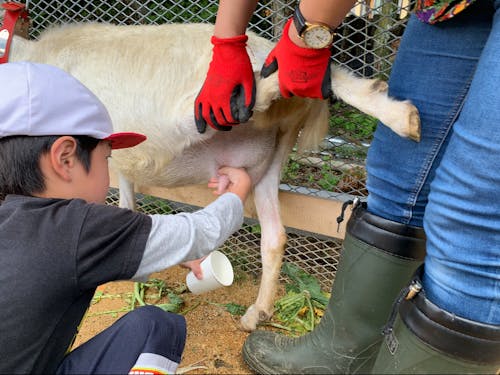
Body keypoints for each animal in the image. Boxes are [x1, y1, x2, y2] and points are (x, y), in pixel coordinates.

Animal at [9, 22, 420, 330]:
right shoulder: (117, 158)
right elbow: (126, 200)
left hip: (195, 113)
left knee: (261, 91)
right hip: (273, 153)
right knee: (276, 233)